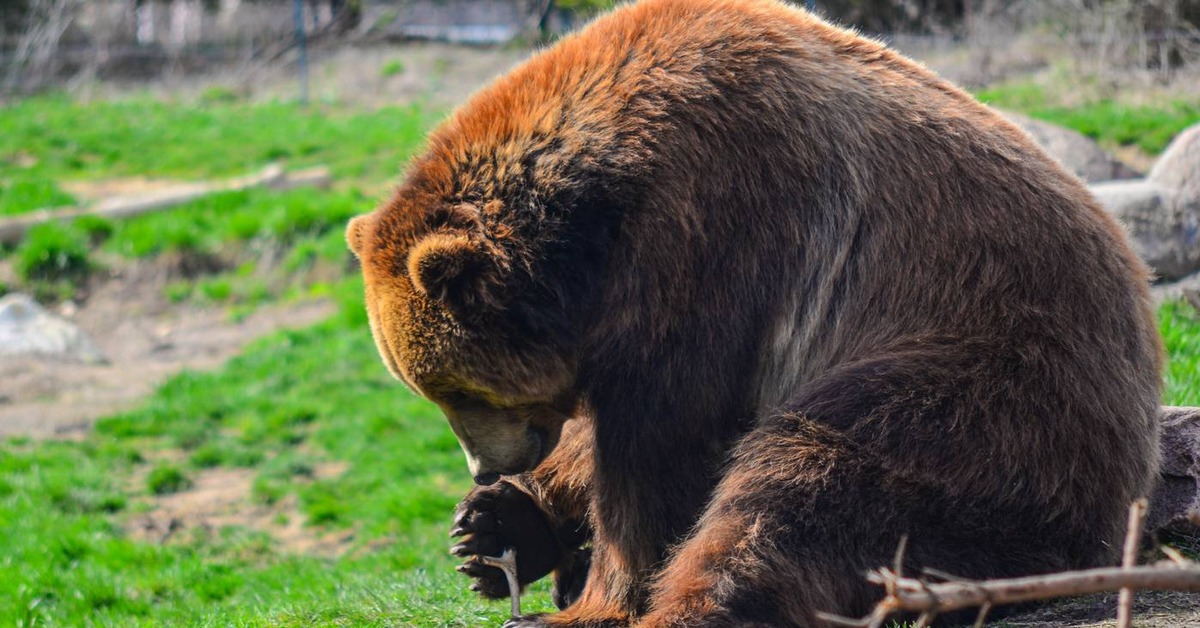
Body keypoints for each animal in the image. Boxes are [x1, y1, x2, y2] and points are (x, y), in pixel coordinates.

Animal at [345, 0, 1161, 624]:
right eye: (429, 391)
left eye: (456, 389)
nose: (488, 465)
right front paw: (490, 528)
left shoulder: (715, 230)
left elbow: (662, 442)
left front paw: (598, 596)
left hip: (980, 383)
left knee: (808, 485)